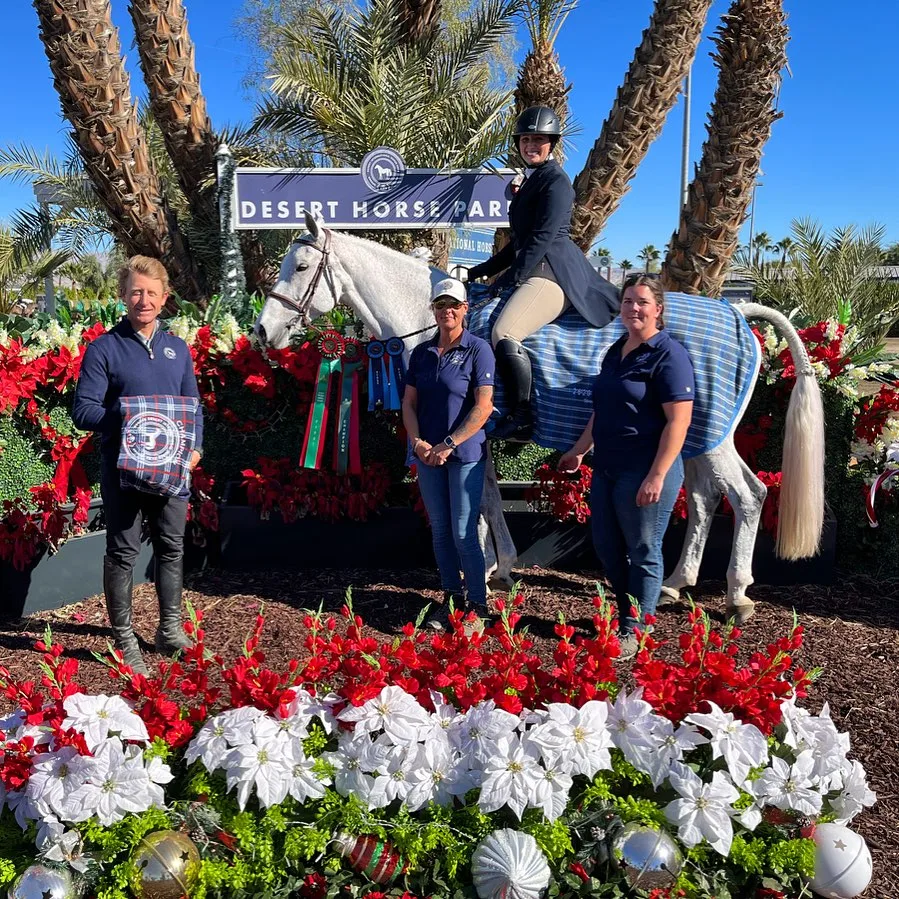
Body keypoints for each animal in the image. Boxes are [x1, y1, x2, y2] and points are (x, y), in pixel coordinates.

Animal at [256, 213, 828, 620]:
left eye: (301, 267)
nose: (264, 333)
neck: (439, 323)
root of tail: (736, 310)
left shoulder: (472, 429)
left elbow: (480, 500)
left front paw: (494, 569)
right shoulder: (474, 438)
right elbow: (485, 498)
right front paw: (495, 567)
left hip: (712, 437)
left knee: (747, 495)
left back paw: (736, 597)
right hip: (695, 439)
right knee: (708, 499)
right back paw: (675, 583)